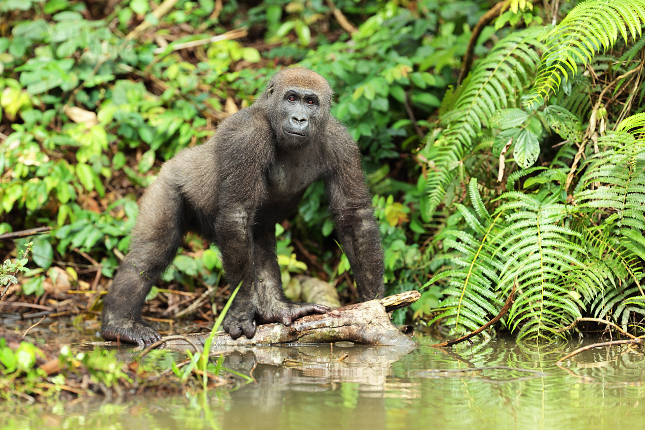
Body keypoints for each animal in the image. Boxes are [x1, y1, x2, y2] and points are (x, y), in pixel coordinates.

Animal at [100, 69, 382, 348]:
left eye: (311, 102)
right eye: (291, 98)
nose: (299, 118)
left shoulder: (342, 142)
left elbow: (354, 216)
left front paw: (374, 300)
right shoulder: (247, 136)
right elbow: (236, 214)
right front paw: (241, 312)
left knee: (259, 243)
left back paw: (275, 309)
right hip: (166, 182)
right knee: (152, 252)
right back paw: (119, 324)